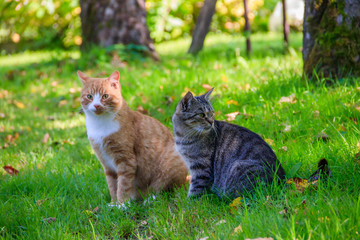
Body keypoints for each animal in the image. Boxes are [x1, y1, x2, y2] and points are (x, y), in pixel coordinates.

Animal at [77, 70, 187, 205]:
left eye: (105, 96)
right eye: (89, 96)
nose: (97, 105)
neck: (99, 124)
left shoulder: (126, 160)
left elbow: (123, 184)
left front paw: (121, 204)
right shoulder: (106, 162)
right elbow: (112, 184)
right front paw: (113, 203)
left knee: (166, 190)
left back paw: (149, 199)